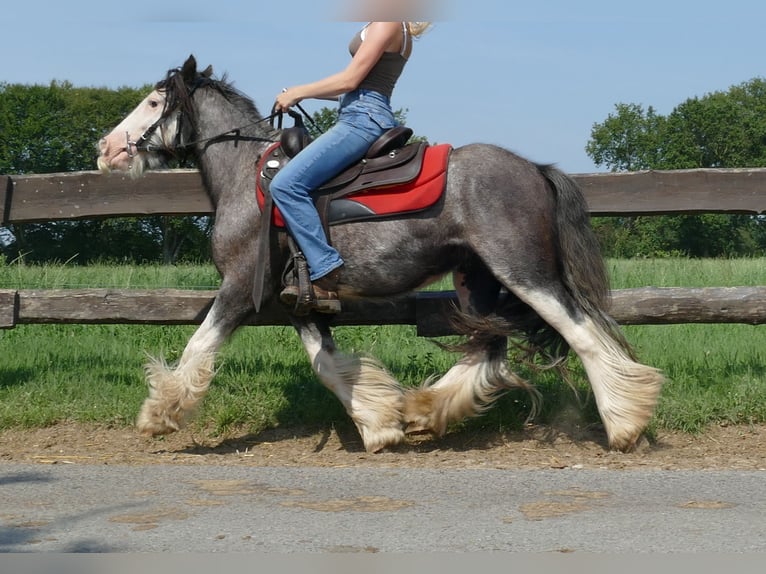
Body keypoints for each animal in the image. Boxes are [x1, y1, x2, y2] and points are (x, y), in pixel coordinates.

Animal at [96, 56, 664, 456]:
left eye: (154, 103)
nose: (106, 148)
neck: (250, 177)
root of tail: (536, 169)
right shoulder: (296, 299)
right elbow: (327, 364)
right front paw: (379, 424)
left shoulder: (239, 288)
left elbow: (198, 346)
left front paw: (159, 415)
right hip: (478, 280)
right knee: (491, 344)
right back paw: (423, 410)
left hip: (525, 273)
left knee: (581, 335)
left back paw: (624, 423)